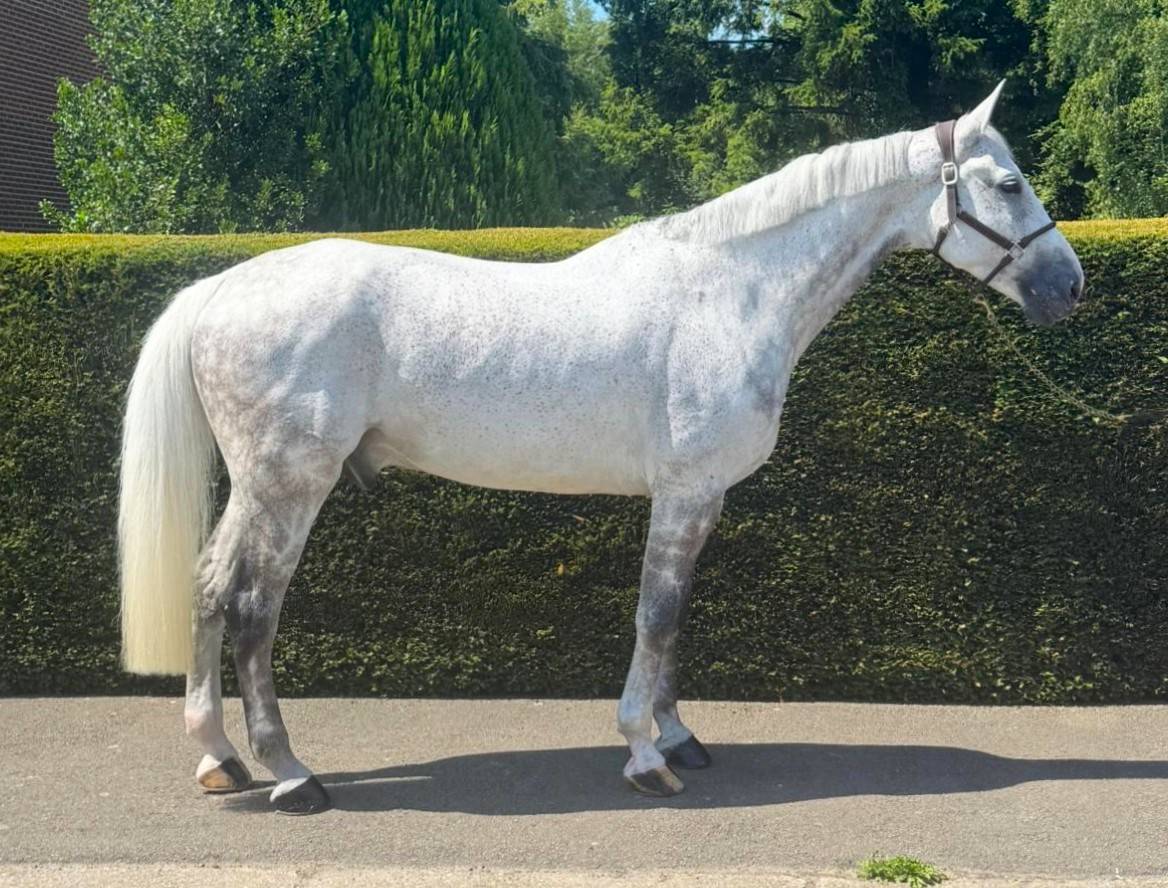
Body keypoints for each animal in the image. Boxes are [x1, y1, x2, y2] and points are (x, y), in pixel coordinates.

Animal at [118, 82, 1084, 815]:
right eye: (1006, 183)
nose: (1067, 287)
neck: (727, 293)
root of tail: (220, 288)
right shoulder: (683, 492)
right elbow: (654, 617)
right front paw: (644, 755)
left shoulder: (702, 497)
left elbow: (675, 618)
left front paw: (679, 736)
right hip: (290, 486)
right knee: (252, 610)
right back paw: (290, 774)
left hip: (255, 487)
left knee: (208, 591)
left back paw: (221, 758)